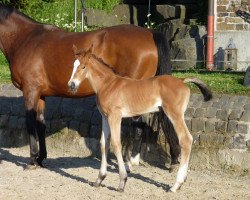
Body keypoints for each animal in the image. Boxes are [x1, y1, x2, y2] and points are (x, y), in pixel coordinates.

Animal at [67, 47, 212, 192]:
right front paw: (99, 179)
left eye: (83, 66)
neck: (108, 84)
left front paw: (122, 181)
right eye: (73, 65)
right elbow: (104, 144)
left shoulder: (115, 116)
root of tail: (182, 80)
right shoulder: (105, 117)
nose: (71, 85)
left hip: (175, 114)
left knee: (186, 139)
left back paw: (176, 185)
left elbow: (116, 144)